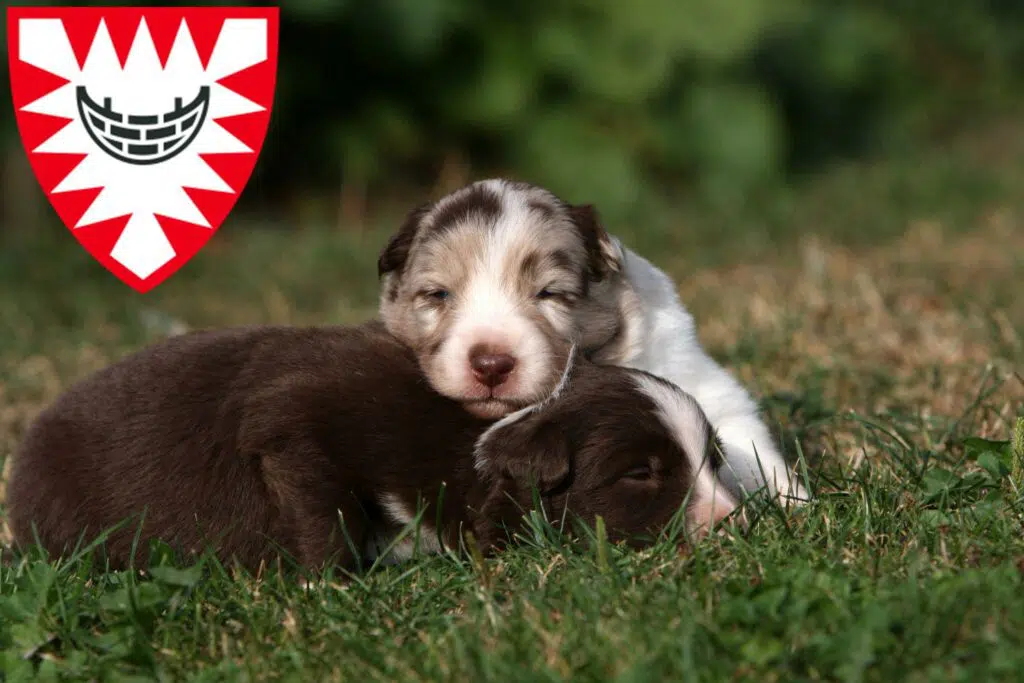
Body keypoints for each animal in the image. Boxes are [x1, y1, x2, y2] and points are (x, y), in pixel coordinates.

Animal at [2, 321, 737, 573]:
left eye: (714, 459)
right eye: (641, 473)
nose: (735, 522)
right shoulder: (292, 420)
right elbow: (322, 505)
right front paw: (322, 582)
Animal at [376, 179, 806, 505]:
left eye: (549, 293)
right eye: (439, 295)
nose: (491, 364)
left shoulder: (699, 379)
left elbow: (747, 448)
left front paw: (795, 504)